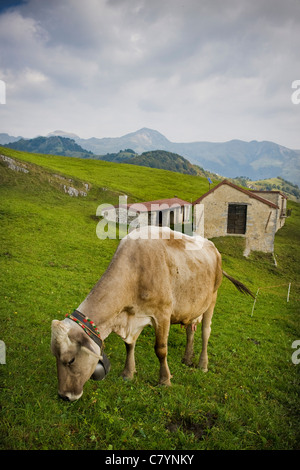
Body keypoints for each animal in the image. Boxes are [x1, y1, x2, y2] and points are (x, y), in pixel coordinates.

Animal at [51, 227, 253, 400]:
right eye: (55, 356)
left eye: (70, 360)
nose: (64, 396)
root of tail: (213, 248)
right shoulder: (135, 315)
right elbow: (129, 345)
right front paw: (128, 373)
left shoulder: (163, 313)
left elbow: (161, 350)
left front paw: (164, 380)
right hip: (191, 306)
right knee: (190, 330)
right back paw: (187, 358)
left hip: (212, 299)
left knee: (205, 332)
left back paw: (202, 365)